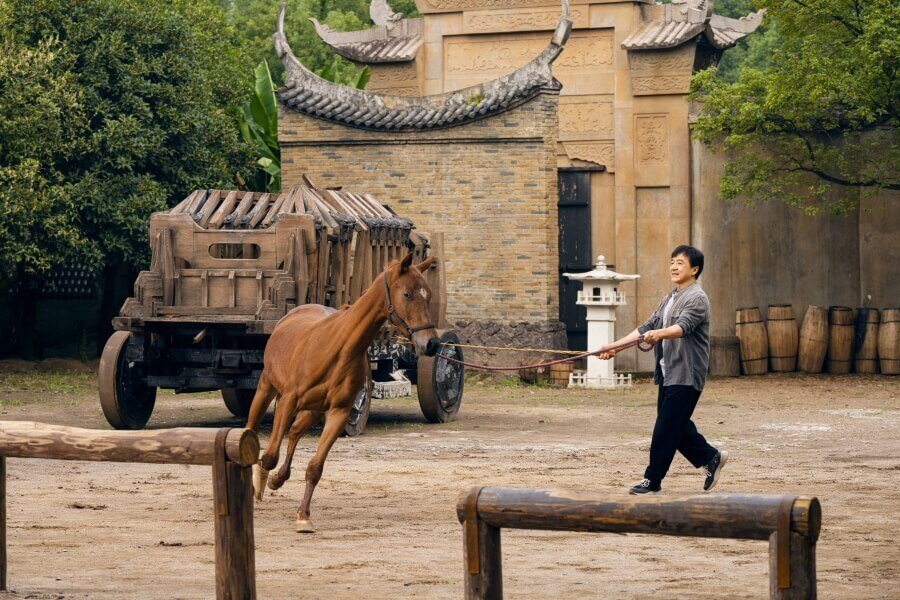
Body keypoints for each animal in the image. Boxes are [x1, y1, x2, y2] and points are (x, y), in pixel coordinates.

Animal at [246, 251, 440, 532]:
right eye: (407, 294)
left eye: (428, 293)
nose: (432, 343)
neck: (339, 346)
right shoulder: (289, 401)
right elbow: (269, 456)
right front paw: (259, 485)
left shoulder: (338, 412)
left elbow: (315, 467)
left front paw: (303, 515)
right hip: (266, 389)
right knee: (253, 431)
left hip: (314, 410)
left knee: (294, 432)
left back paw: (279, 479)